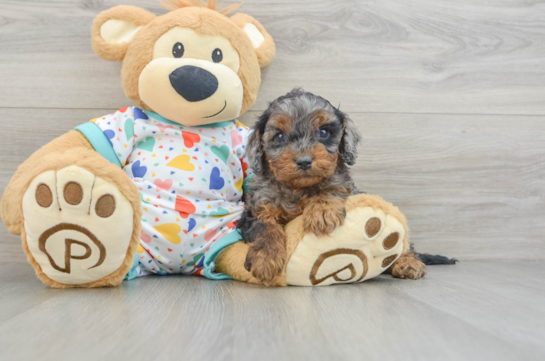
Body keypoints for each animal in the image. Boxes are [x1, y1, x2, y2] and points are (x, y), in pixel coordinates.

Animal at [238, 88, 362, 282]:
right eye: (280, 136)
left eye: (324, 132)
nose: (304, 161)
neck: (297, 189)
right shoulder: (256, 208)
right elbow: (264, 227)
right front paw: (265, 258)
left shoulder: (345, 185)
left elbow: (332, 186)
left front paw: (322, 211)